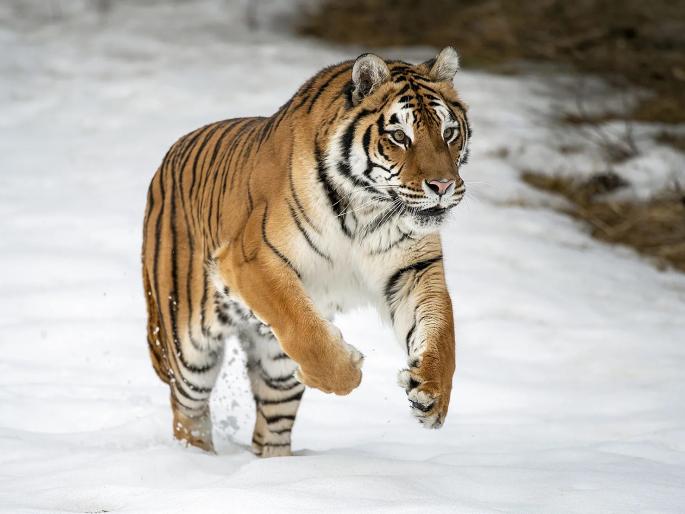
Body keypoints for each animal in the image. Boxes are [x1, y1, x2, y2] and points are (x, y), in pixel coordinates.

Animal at [142, 47, 470, 457]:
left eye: (449, 133)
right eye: (399, 136)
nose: (443, 186)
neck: (367, 208)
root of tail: (167, 157)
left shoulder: (413, 269)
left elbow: (441, 332)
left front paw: (432, 395)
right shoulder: (252, 258)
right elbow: (304, 328)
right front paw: (349, 370)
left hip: (275, 366)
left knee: (271, 426)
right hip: (188, 345)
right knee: (188, 410)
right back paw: (196, 460)